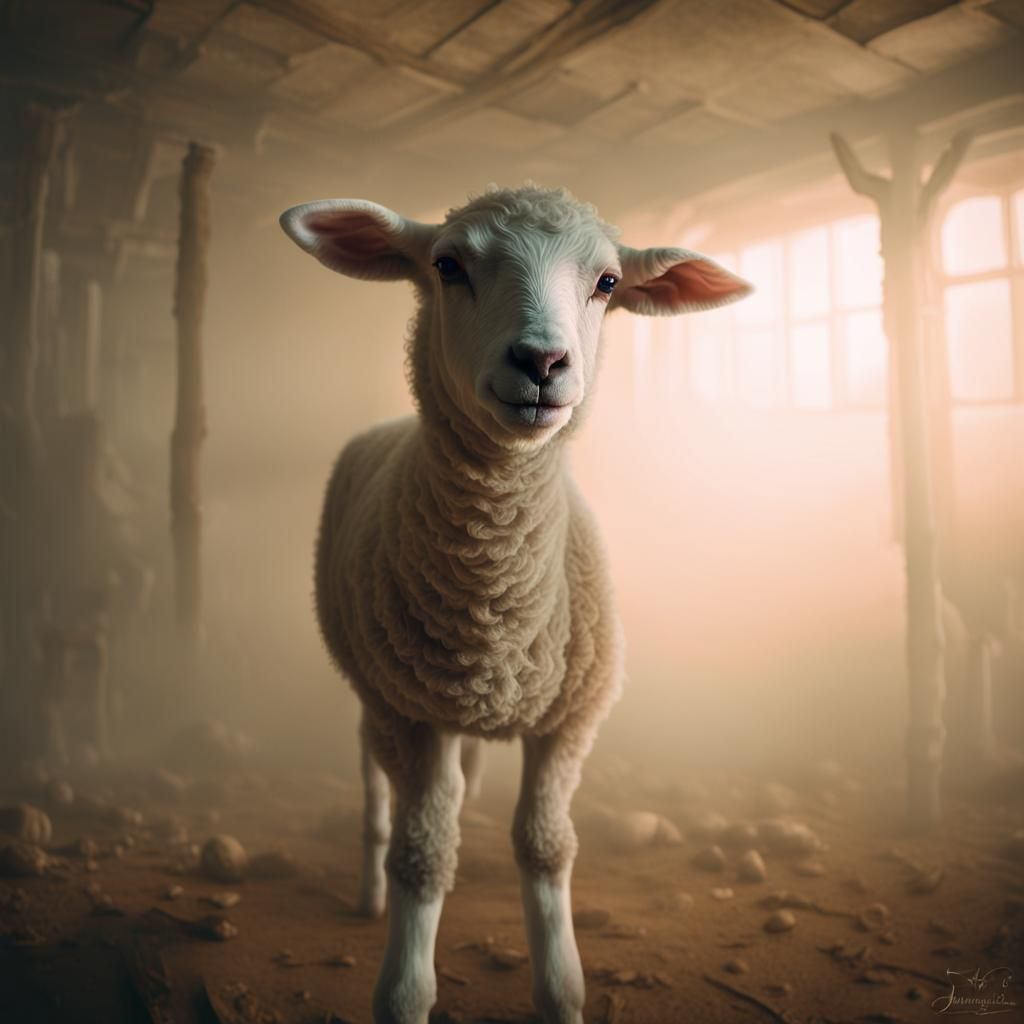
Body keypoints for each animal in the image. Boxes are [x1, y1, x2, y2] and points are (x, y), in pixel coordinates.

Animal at [280, 185, 750, 1024]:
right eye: (447, 265)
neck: (494, 602)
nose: (542, 362)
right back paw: (370, 890)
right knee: (377, 783)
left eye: (607, 284)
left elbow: (545, 846)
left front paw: (560, 988)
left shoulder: (571, 718)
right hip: (376, 688)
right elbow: (421, 854)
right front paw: (404, 982)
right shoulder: (409, 714)